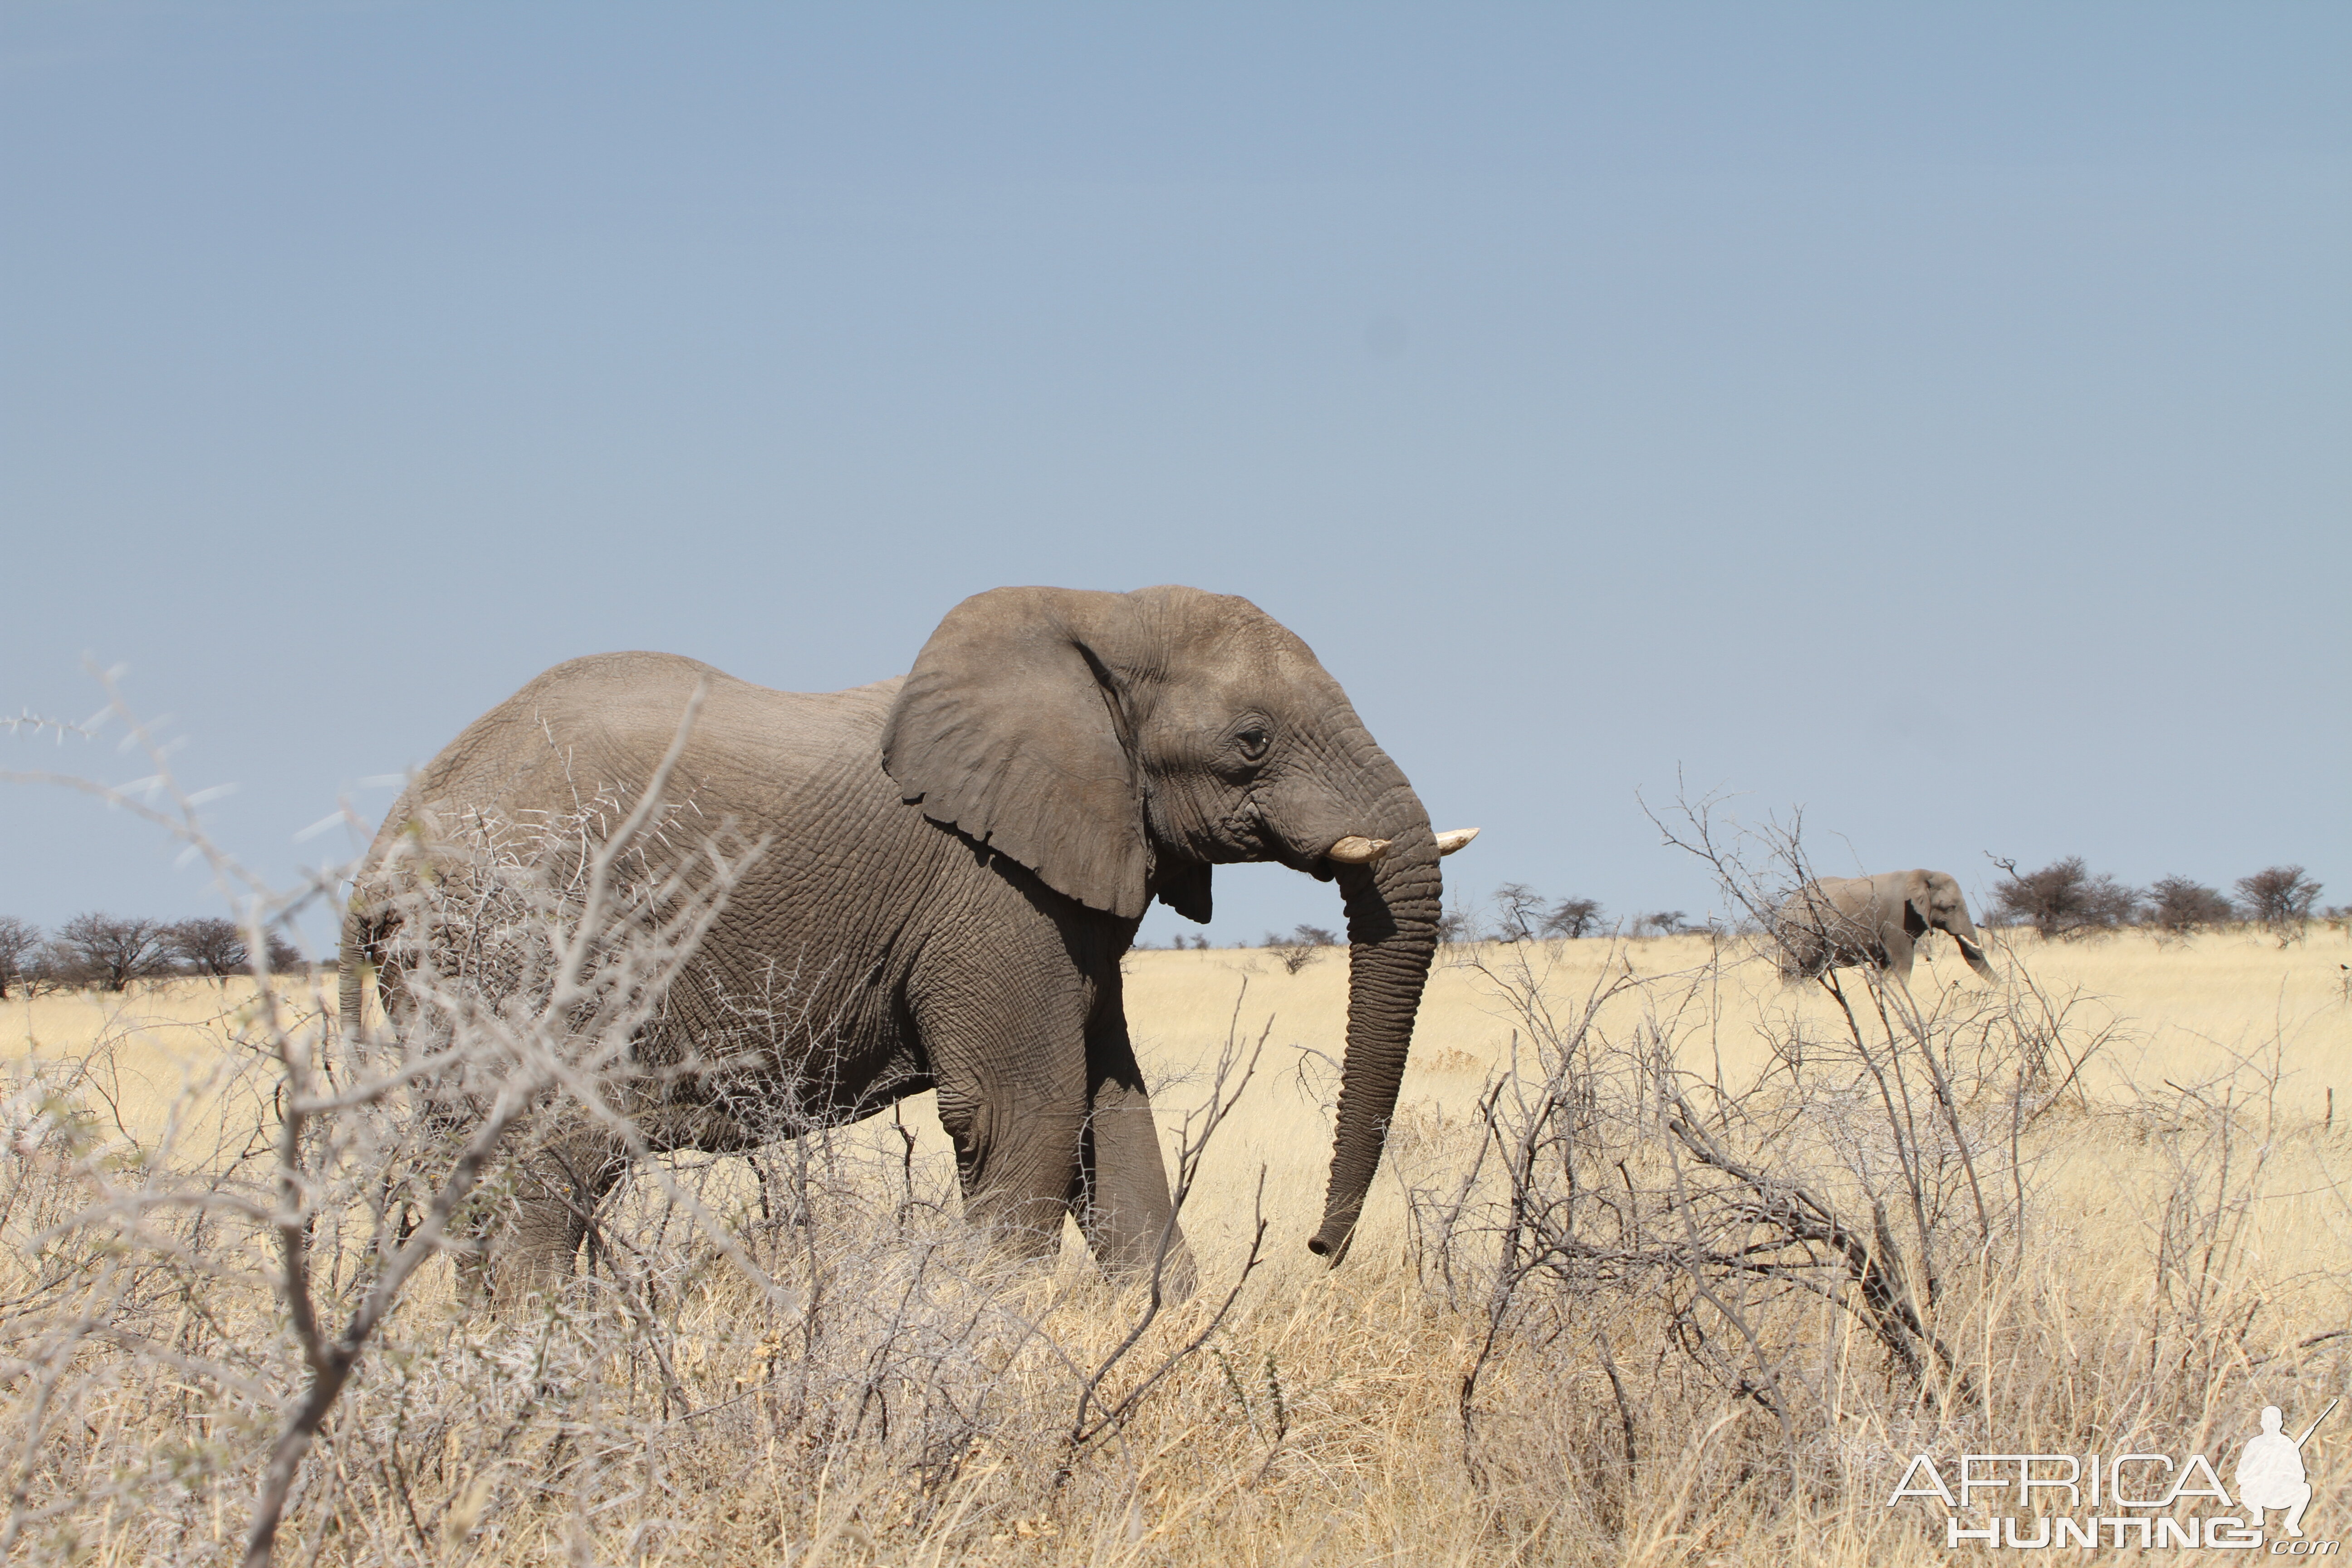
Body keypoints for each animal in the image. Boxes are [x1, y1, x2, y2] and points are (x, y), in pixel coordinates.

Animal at [336, 588, 1467, 1298]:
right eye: (1252, 742)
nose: (1319, 1246)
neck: (1089, 616)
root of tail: (385, 850)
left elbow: (1111, 1113)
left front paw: (1166, 1330)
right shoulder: (989, 888)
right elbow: (1024, 1110)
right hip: (522, 942)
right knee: (552, 1148)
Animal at [1769, 865, 1994, 987]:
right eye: (1951, 907)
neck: (1923, 874)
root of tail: (1785, 907)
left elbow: (1887, 965)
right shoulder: (1897, 917)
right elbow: (1902, 962)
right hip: (1800, 932)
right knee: (1795, 971)